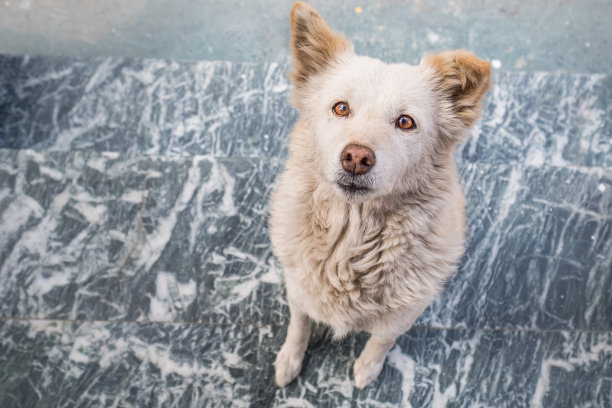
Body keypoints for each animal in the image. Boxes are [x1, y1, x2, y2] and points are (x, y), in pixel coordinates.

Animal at [268, 1, 492, 388]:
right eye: (341, 107)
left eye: (405, 122)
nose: (357, 157)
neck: (351, 237)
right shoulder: (297, 289)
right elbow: (299, 325)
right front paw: (289, 361)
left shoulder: (405, 313)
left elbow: (382, 340)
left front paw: (367, 369)